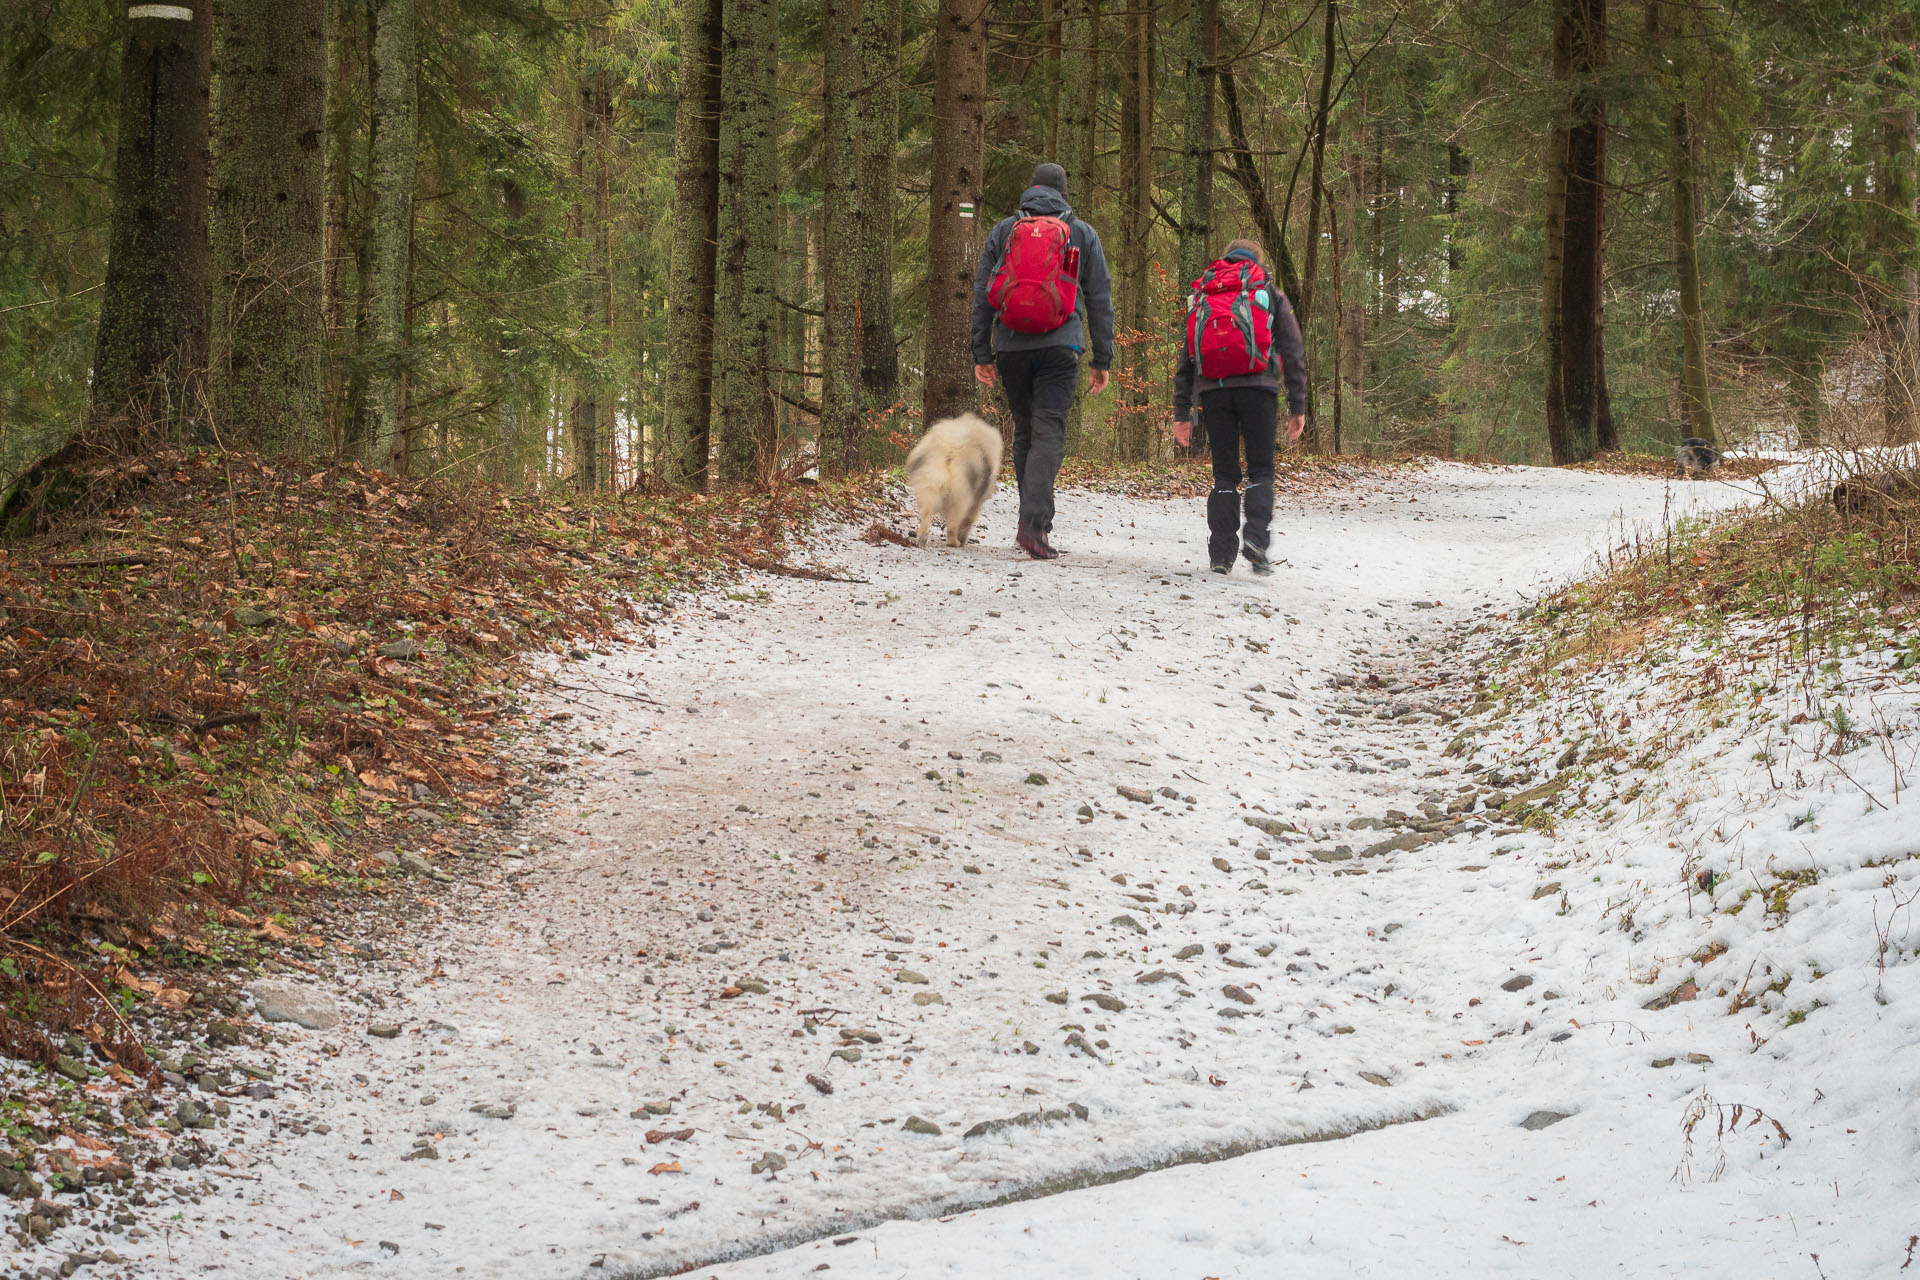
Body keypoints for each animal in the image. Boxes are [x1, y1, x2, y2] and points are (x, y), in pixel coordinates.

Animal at [906, 412, 1006, 548]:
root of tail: (951, 445)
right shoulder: (975, 502)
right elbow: (968, 521)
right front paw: (963, 539)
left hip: (929, 482)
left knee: (927, 512)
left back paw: (921, 539)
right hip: (961, 494)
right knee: (954, 524)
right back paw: (954, 542)